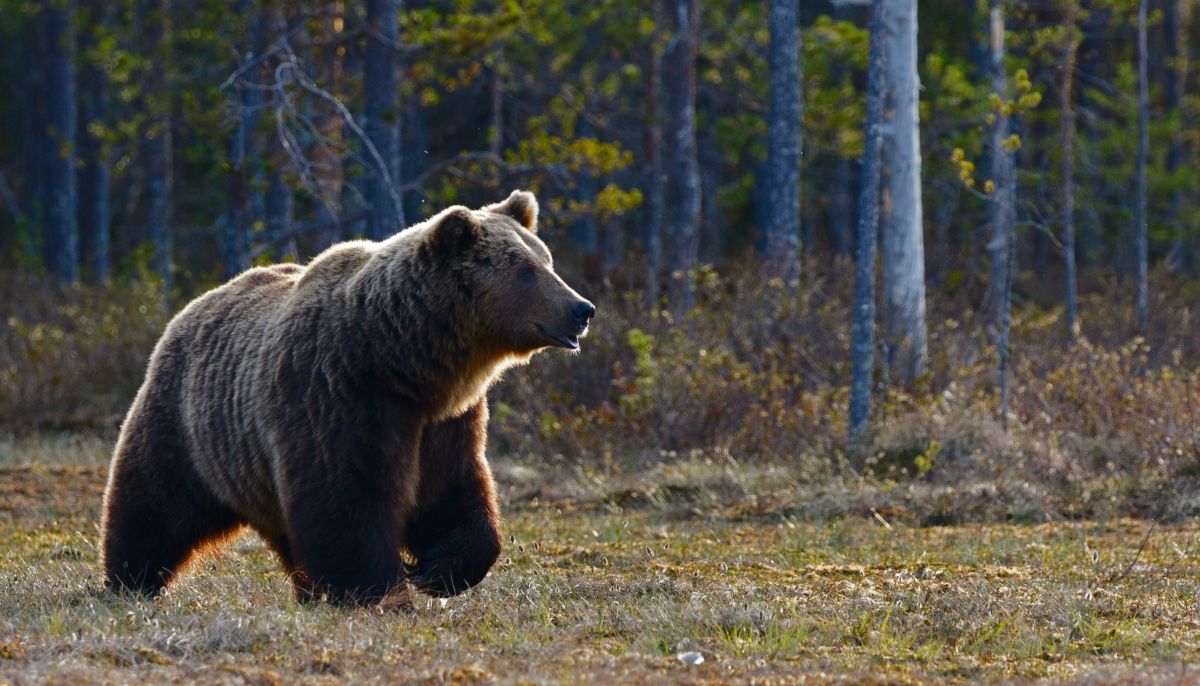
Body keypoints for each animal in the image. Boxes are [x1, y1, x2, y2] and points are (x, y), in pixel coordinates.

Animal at [99, 189, 595, 604]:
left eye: (547, 261)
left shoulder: (445, 420)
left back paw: (306, 590)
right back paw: (131, 580)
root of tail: (193, 305)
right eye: (525, 270)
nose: (582, 309)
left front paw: (438, 569)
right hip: (189, 424)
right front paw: (379, 589)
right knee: (153, 503)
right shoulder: (339, 395)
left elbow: (453, 491)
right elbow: (347, 499)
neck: (404, 361)